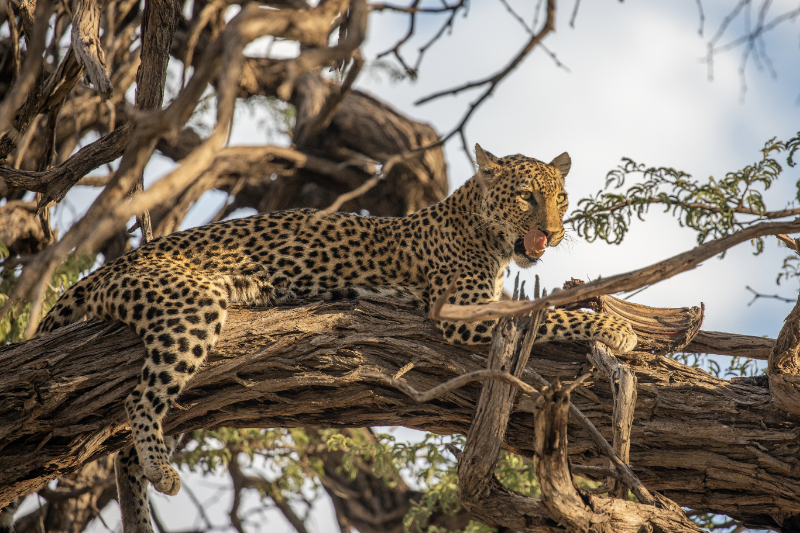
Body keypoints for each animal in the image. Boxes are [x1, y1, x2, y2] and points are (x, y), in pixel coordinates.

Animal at [31, 144, 636, 533]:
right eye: (528, 198)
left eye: (561, 198)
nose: (553, 233)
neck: (480, 227)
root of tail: (107, 267)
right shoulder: (461, 312)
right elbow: (550, 312)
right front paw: (619, 329)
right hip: (191, 304)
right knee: (140, 398)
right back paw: (161, 468)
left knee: (127, 445)